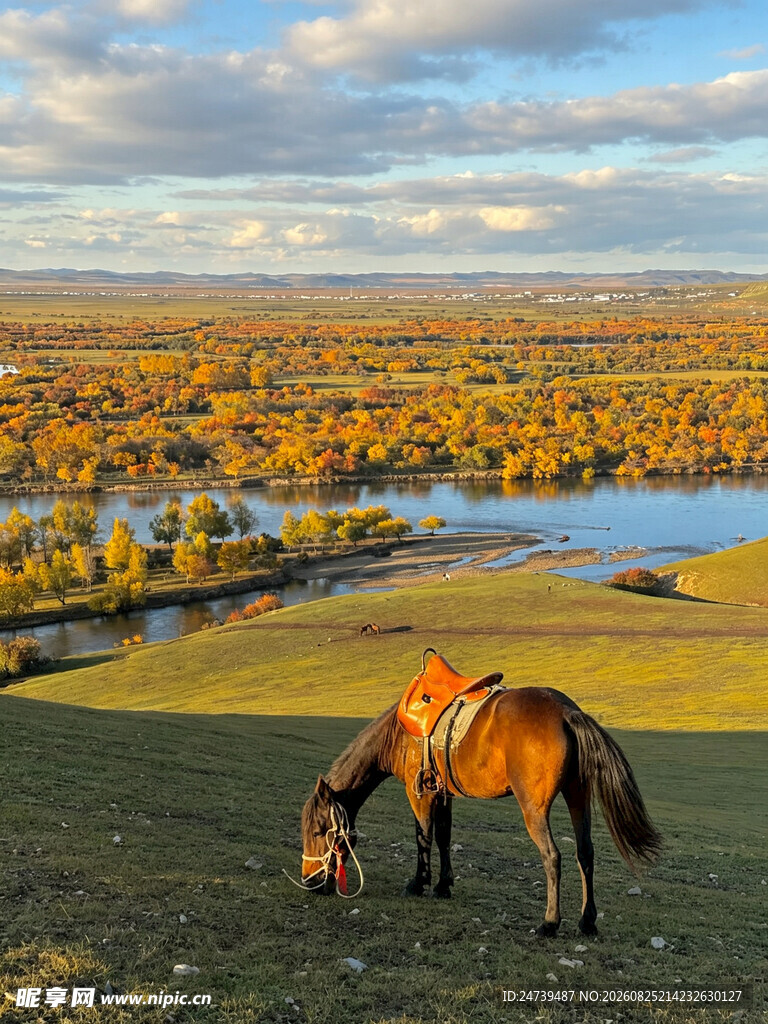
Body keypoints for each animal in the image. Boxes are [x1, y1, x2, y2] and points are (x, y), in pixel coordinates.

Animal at [299, 685, 661, 936]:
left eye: (318, 832)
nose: (310, 880)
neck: (400, 733)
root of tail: (566, 712)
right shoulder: (443, 793)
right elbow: (443, 837)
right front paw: (443, 885)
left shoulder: (418, 793)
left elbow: (422, 836)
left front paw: (418, 884)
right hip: (578, 795)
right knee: (585, 852)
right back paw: (587, 921)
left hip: (534, 808)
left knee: (553, 856)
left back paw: (549, 923)